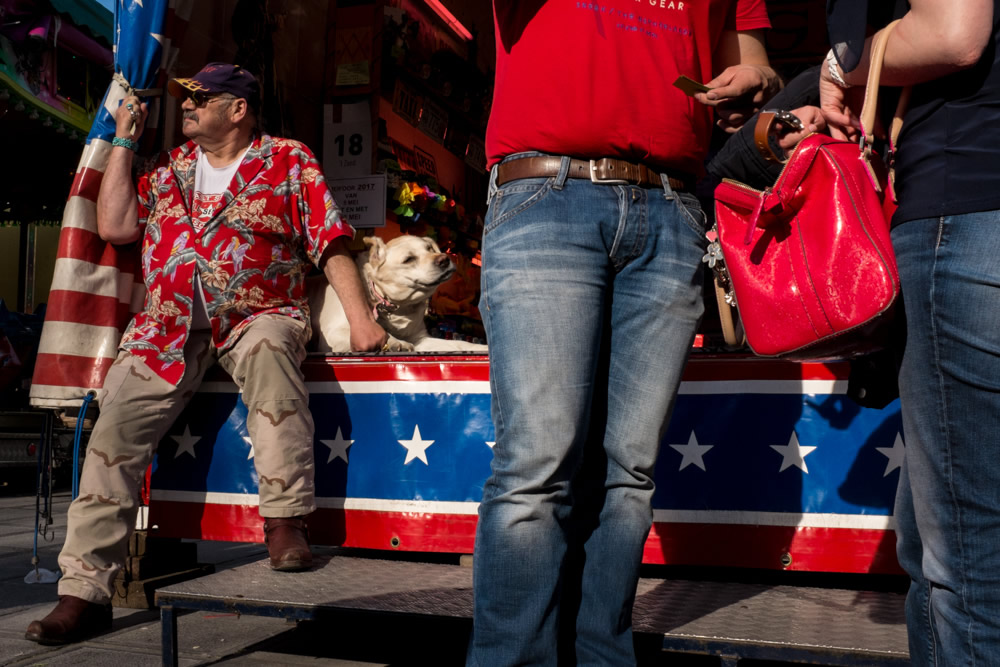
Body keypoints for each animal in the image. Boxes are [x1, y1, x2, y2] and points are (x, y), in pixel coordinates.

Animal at [308, 235, 488, 354]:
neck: (400, 308)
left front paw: (481, 348)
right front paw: (396, 341)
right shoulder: (335, 333)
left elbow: (457, 344)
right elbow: (382, 333)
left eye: (429, 249)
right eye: (408, 259)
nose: (444, 259)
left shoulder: (421, 339)